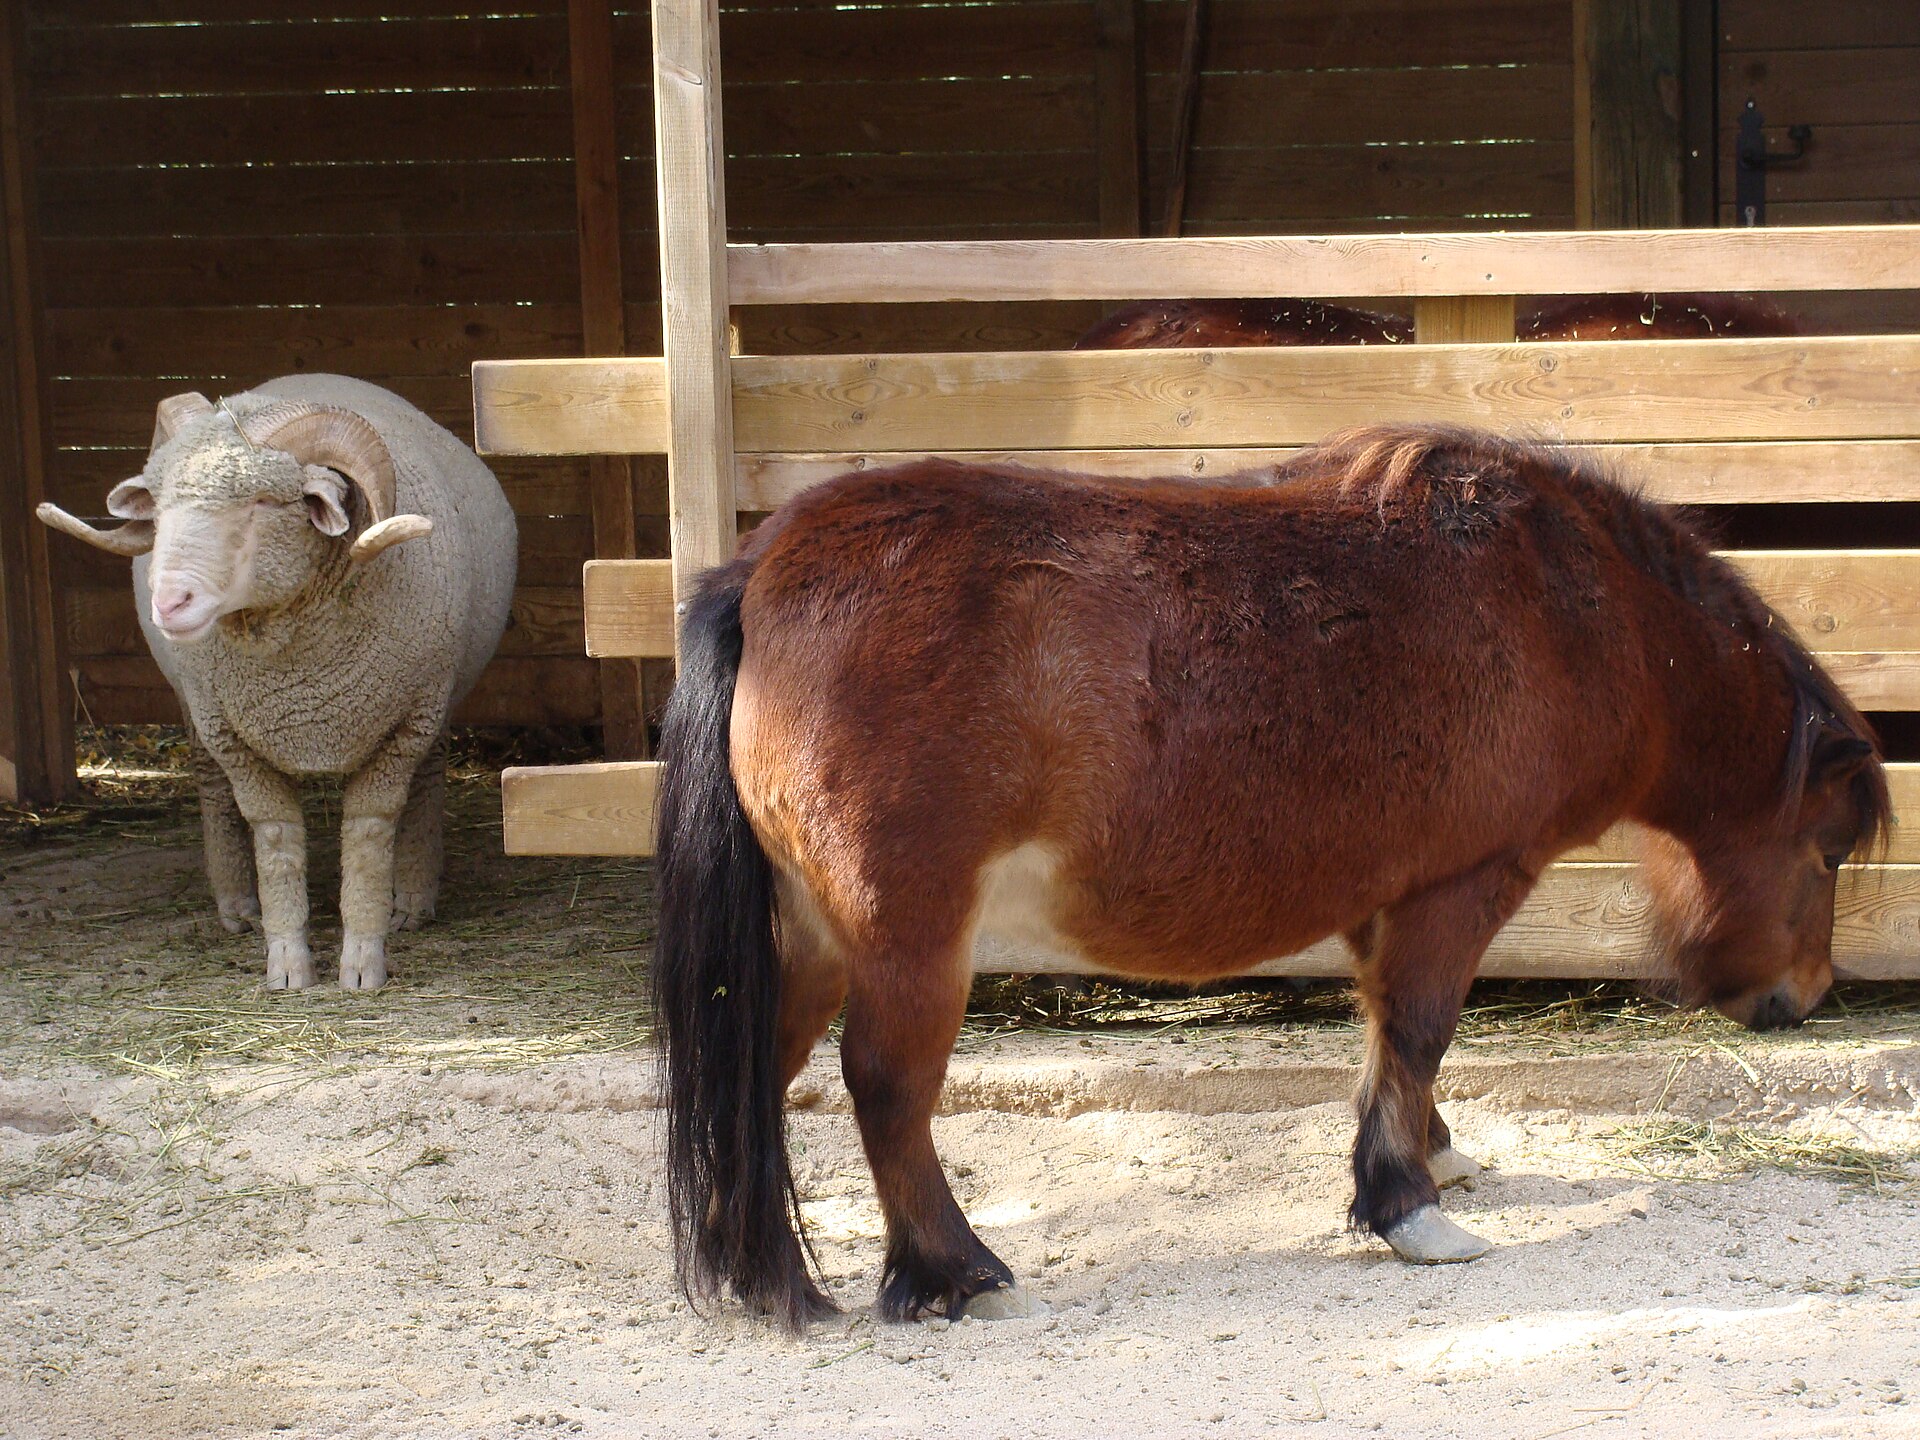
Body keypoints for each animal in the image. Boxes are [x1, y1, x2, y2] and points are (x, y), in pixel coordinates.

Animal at [650, 426, 1889, 1330]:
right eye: (1827, 850)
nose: (1800, 999)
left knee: (762, 1064)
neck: (1574, 607)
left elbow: (1392, 1040)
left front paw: (1430, 1154)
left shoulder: (1383, 897)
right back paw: (953, 1270)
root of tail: (762, 571)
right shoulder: (1464, 883)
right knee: (885, 1085)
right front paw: (1406, 1206)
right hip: (909, 935)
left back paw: (755, 1270)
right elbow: (1422, 1029)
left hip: (812, 933)